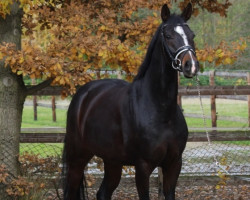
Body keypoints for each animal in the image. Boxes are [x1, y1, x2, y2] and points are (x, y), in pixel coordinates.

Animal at [63, 3, 199, 200]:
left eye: (192, 35)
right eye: (168, 35)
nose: (191, 66)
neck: (161, 110)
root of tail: (83, 95)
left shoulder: (174, 164)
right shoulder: (143, 166)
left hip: (112, 161)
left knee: (103, 193)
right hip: (77, 158)